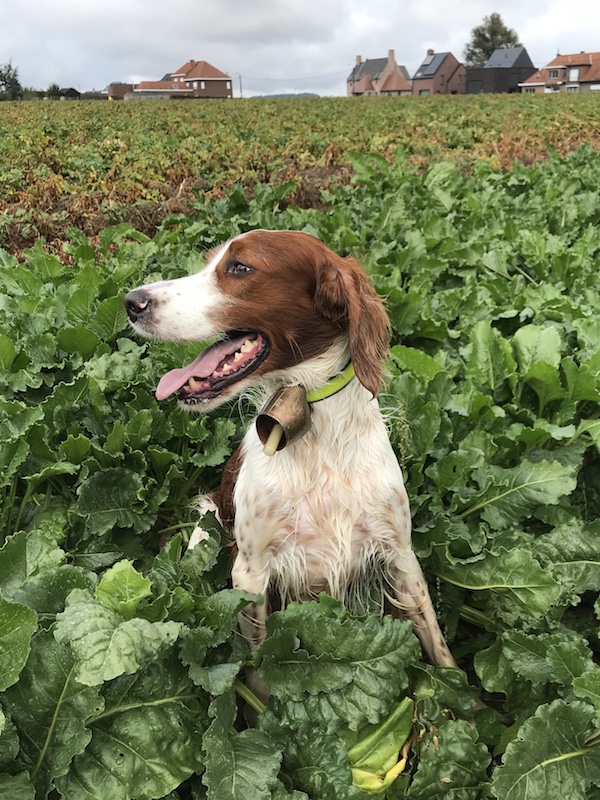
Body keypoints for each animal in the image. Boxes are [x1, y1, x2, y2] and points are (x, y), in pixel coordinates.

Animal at [124, 230, 458, 668]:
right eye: (209, 262)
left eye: (240, 267)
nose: (132, 301)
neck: (315, 433)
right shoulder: (250, 571)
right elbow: (259, 664)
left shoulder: (400, 556)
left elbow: (438, 644)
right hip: (206, 526)